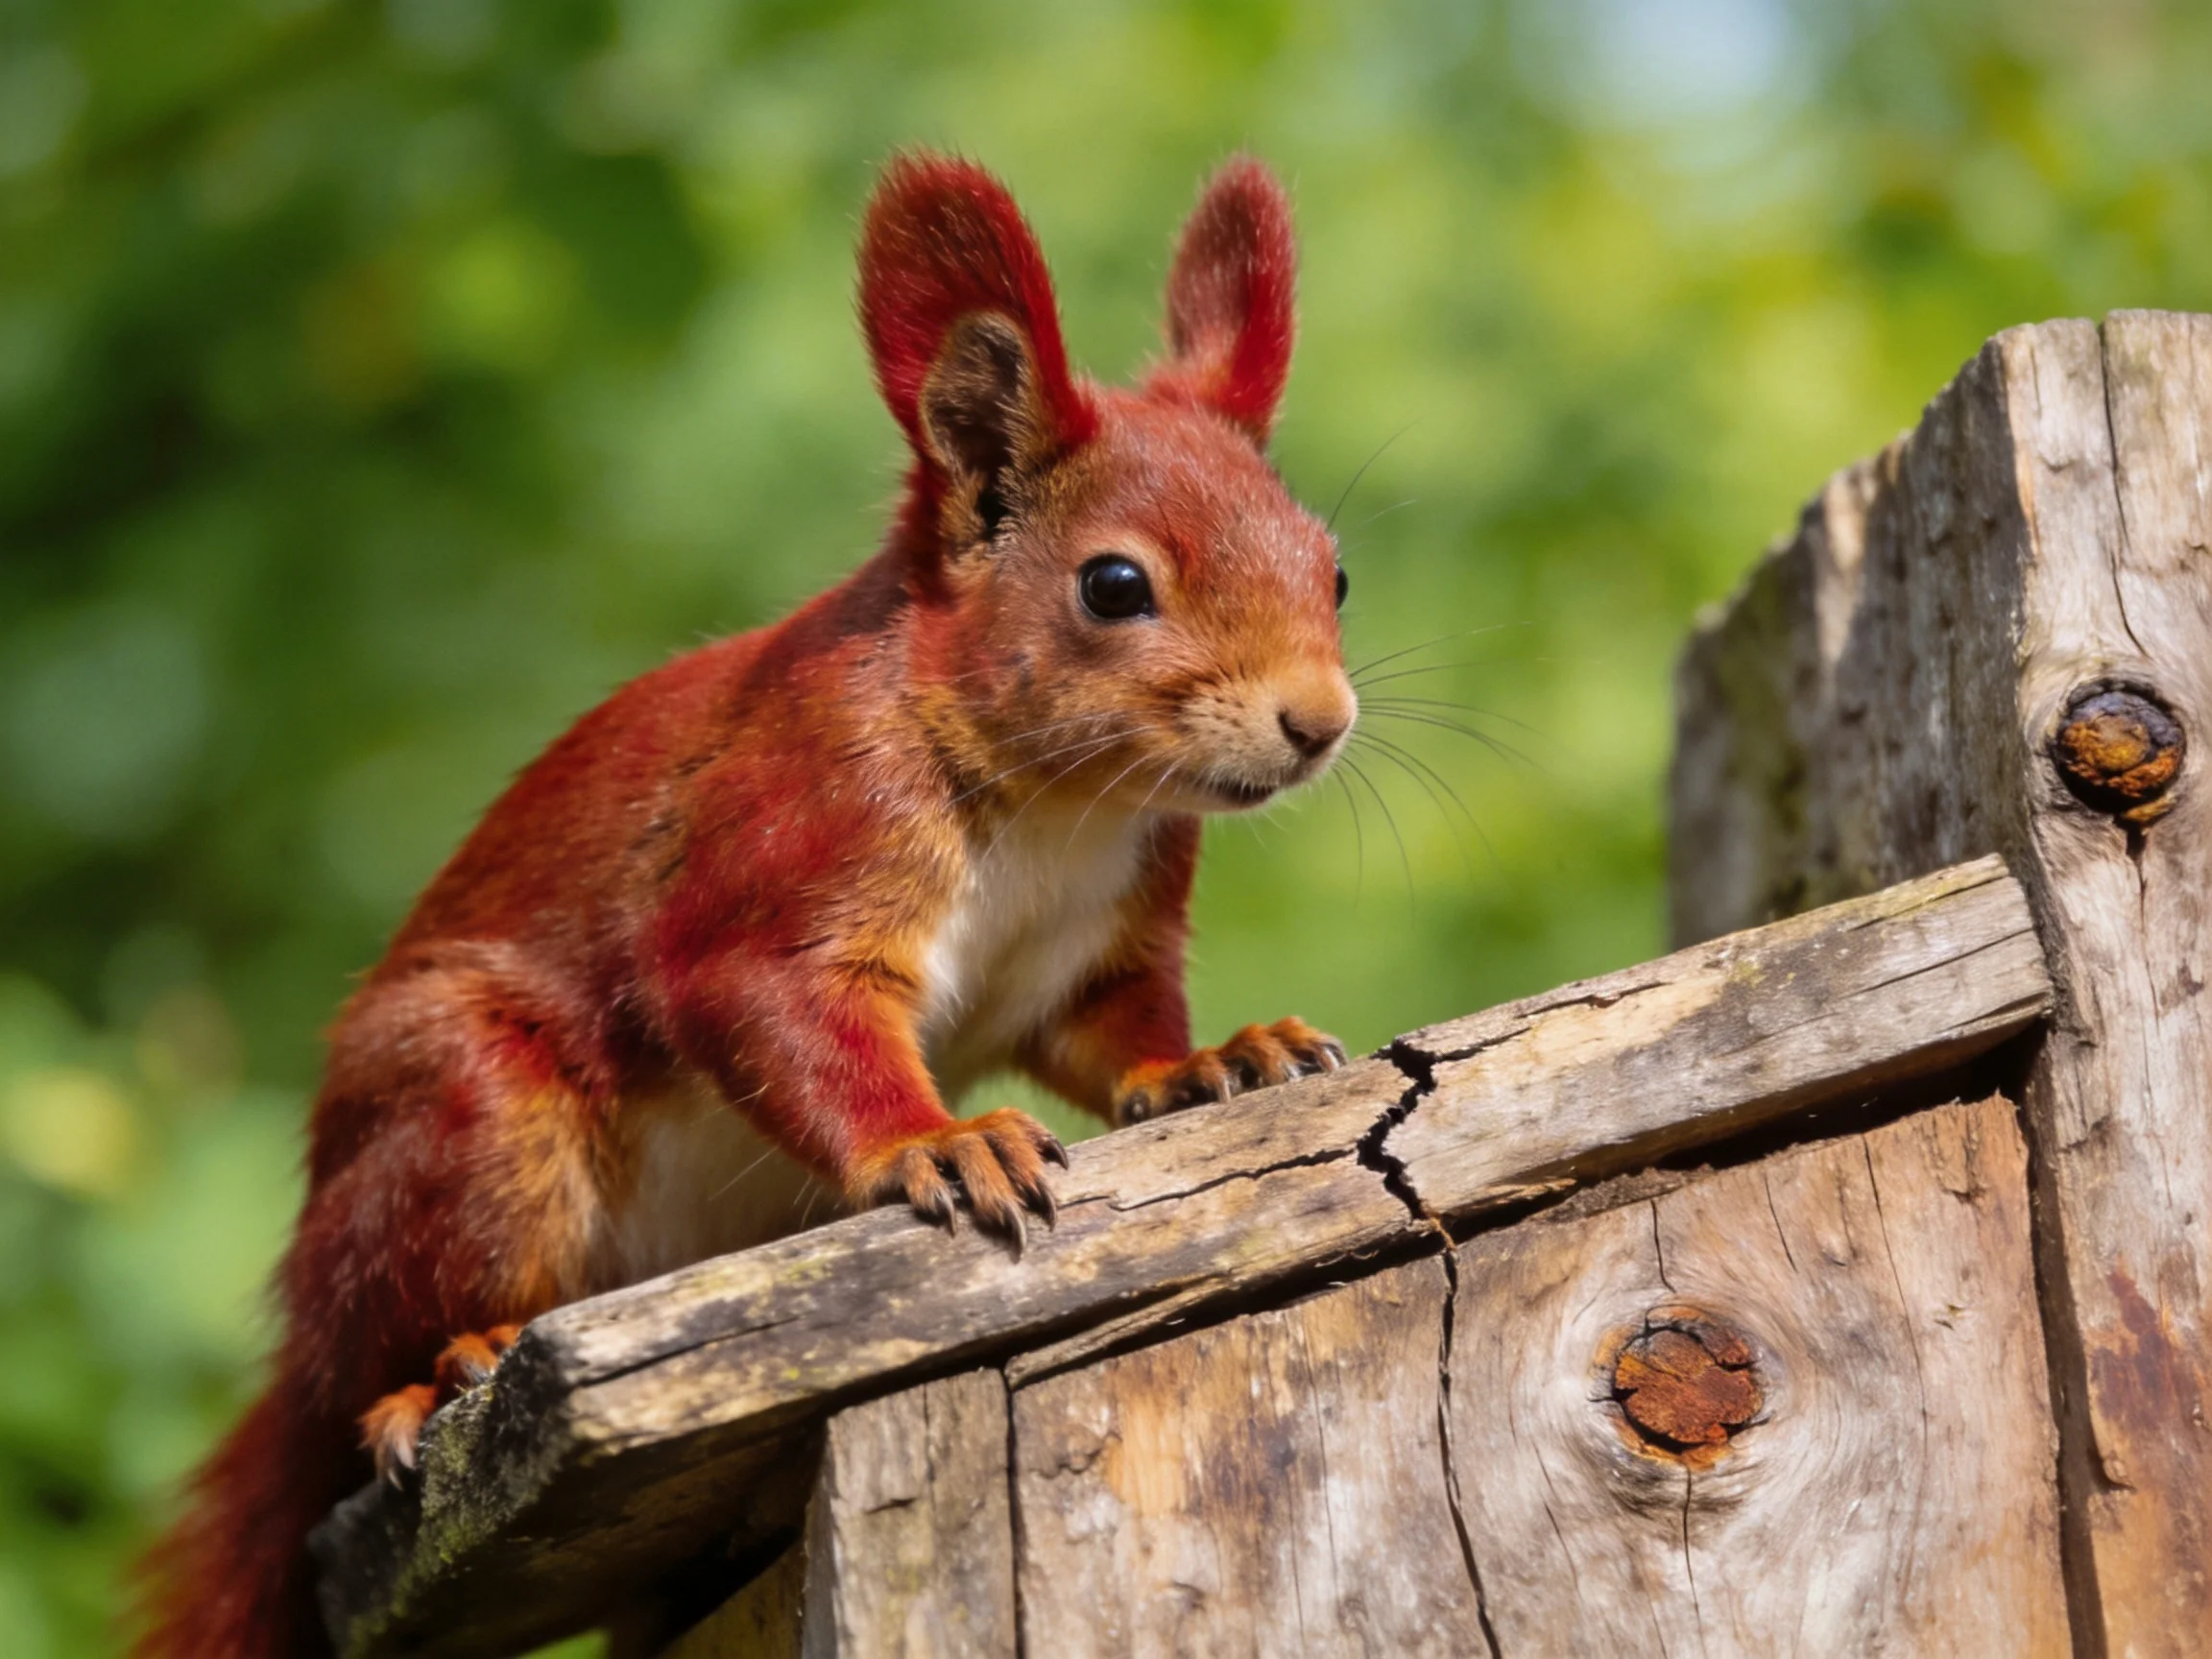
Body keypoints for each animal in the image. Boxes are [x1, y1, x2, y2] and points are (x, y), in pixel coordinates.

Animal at [132, 150, 1356, 1657]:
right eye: (1114, 584)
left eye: (1335, 567)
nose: (1319, 723)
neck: (1062, 807)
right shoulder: (789, 836)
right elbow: (771, 1008)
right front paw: (942, 1143)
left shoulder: (1101, 942)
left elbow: (1113, 1034)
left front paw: (1217, 1060)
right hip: (458, 1129)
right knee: (360, 1365)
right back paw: (441, 1373)